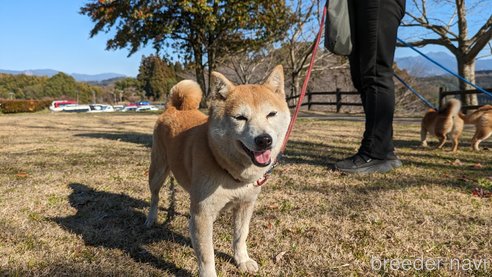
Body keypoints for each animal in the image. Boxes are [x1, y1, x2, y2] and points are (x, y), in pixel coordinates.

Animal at [146, 66, 290, 274]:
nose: (264, 140)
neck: (232, 174)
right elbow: (207, 255)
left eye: (271, 114)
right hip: (157, 171)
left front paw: (242, 260)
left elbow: (240, 236)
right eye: (240, 118)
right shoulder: (202, 215)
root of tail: (173, 108)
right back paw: (151, 218)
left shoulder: (245, 204)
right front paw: (209, 273)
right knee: (155, 197)